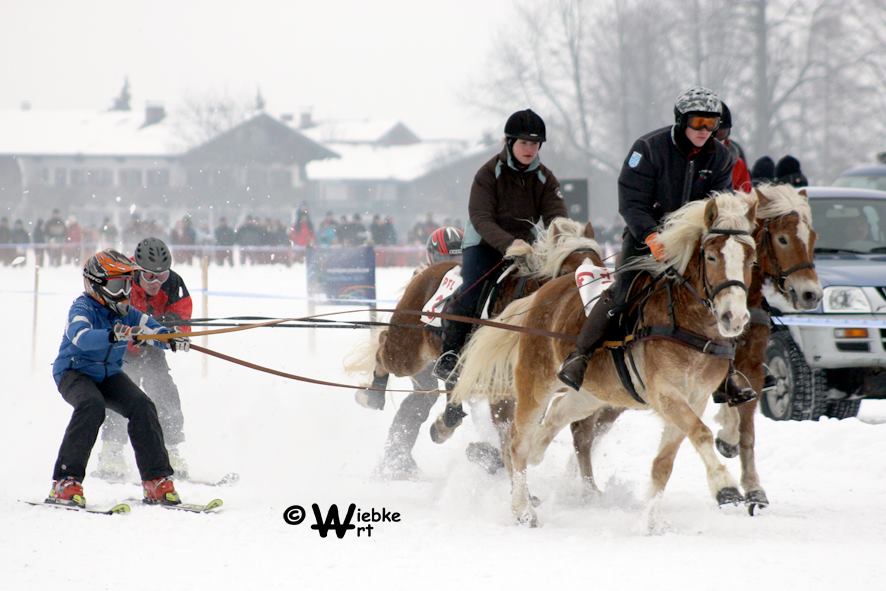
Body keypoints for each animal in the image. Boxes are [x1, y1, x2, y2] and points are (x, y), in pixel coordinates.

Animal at [344, 217, 608, 476]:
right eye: (568, 272)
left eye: (601, 269)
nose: (590, 312)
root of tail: (425, 273)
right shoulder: (501, 390)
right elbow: (507, 432)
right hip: (406, 352)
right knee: (383, 346)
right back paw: (372, 395)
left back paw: (444, 423)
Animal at [572, 184, 824, 512]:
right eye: (782, 238)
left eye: (812, 237)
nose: (810, 294)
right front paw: (727, 462)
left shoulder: (750, 369)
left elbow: (746, 431)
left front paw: (753, 487)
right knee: (583, 430)